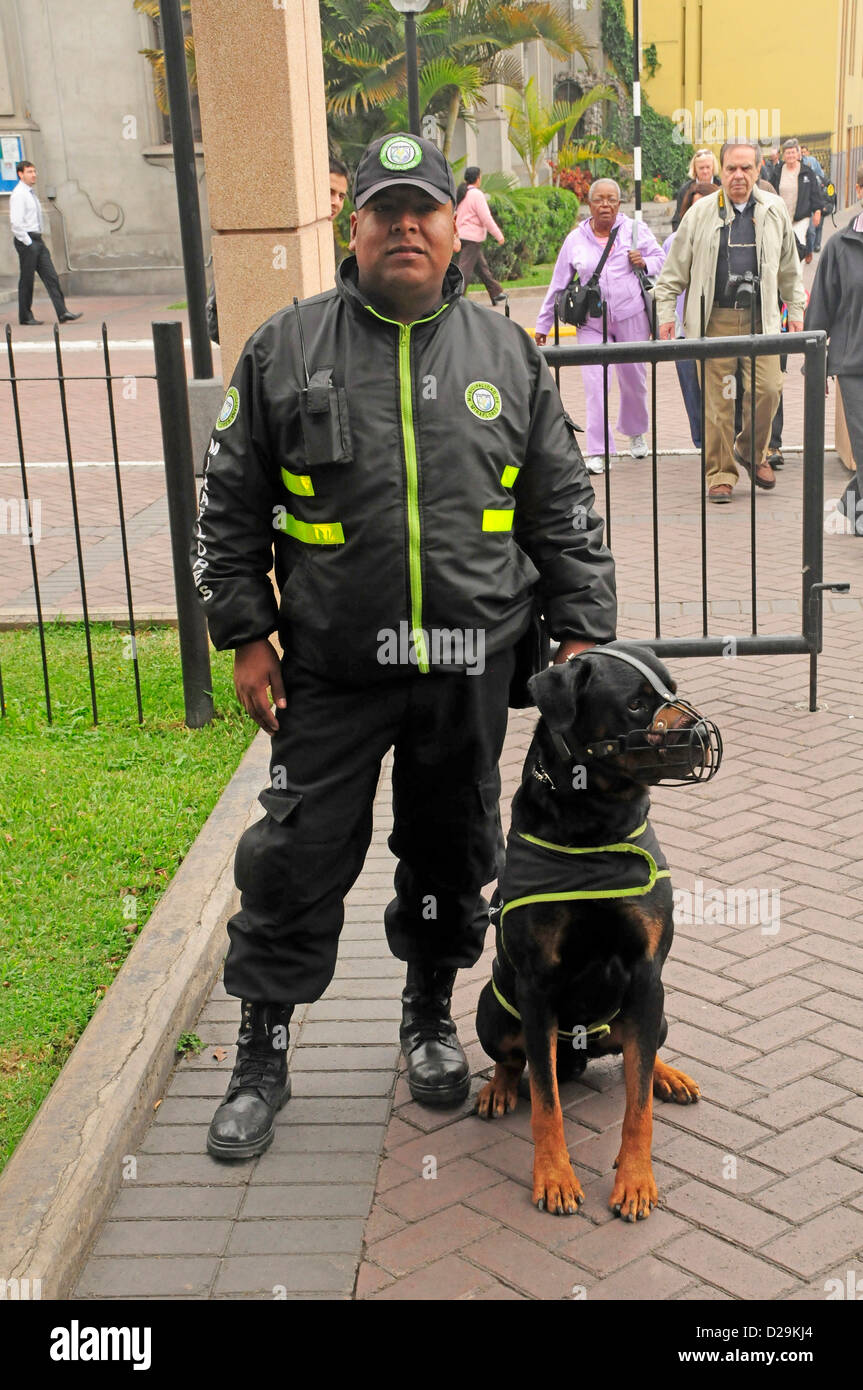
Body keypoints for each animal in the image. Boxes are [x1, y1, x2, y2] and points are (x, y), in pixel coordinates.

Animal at [478, 639, 722, 1217]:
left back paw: (669, 1076)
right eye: (634, 705)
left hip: (652, 1012)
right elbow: (545, 1103)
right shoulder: (537, 984)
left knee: (644, 1054)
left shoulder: (647, 974)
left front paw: (634, 1180)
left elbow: (638, 1107)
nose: (702, 736)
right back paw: (498, 1088)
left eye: (672, 690)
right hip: (491, 1010)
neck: (596, 824)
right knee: (515, 1060)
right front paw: (554, 1177)